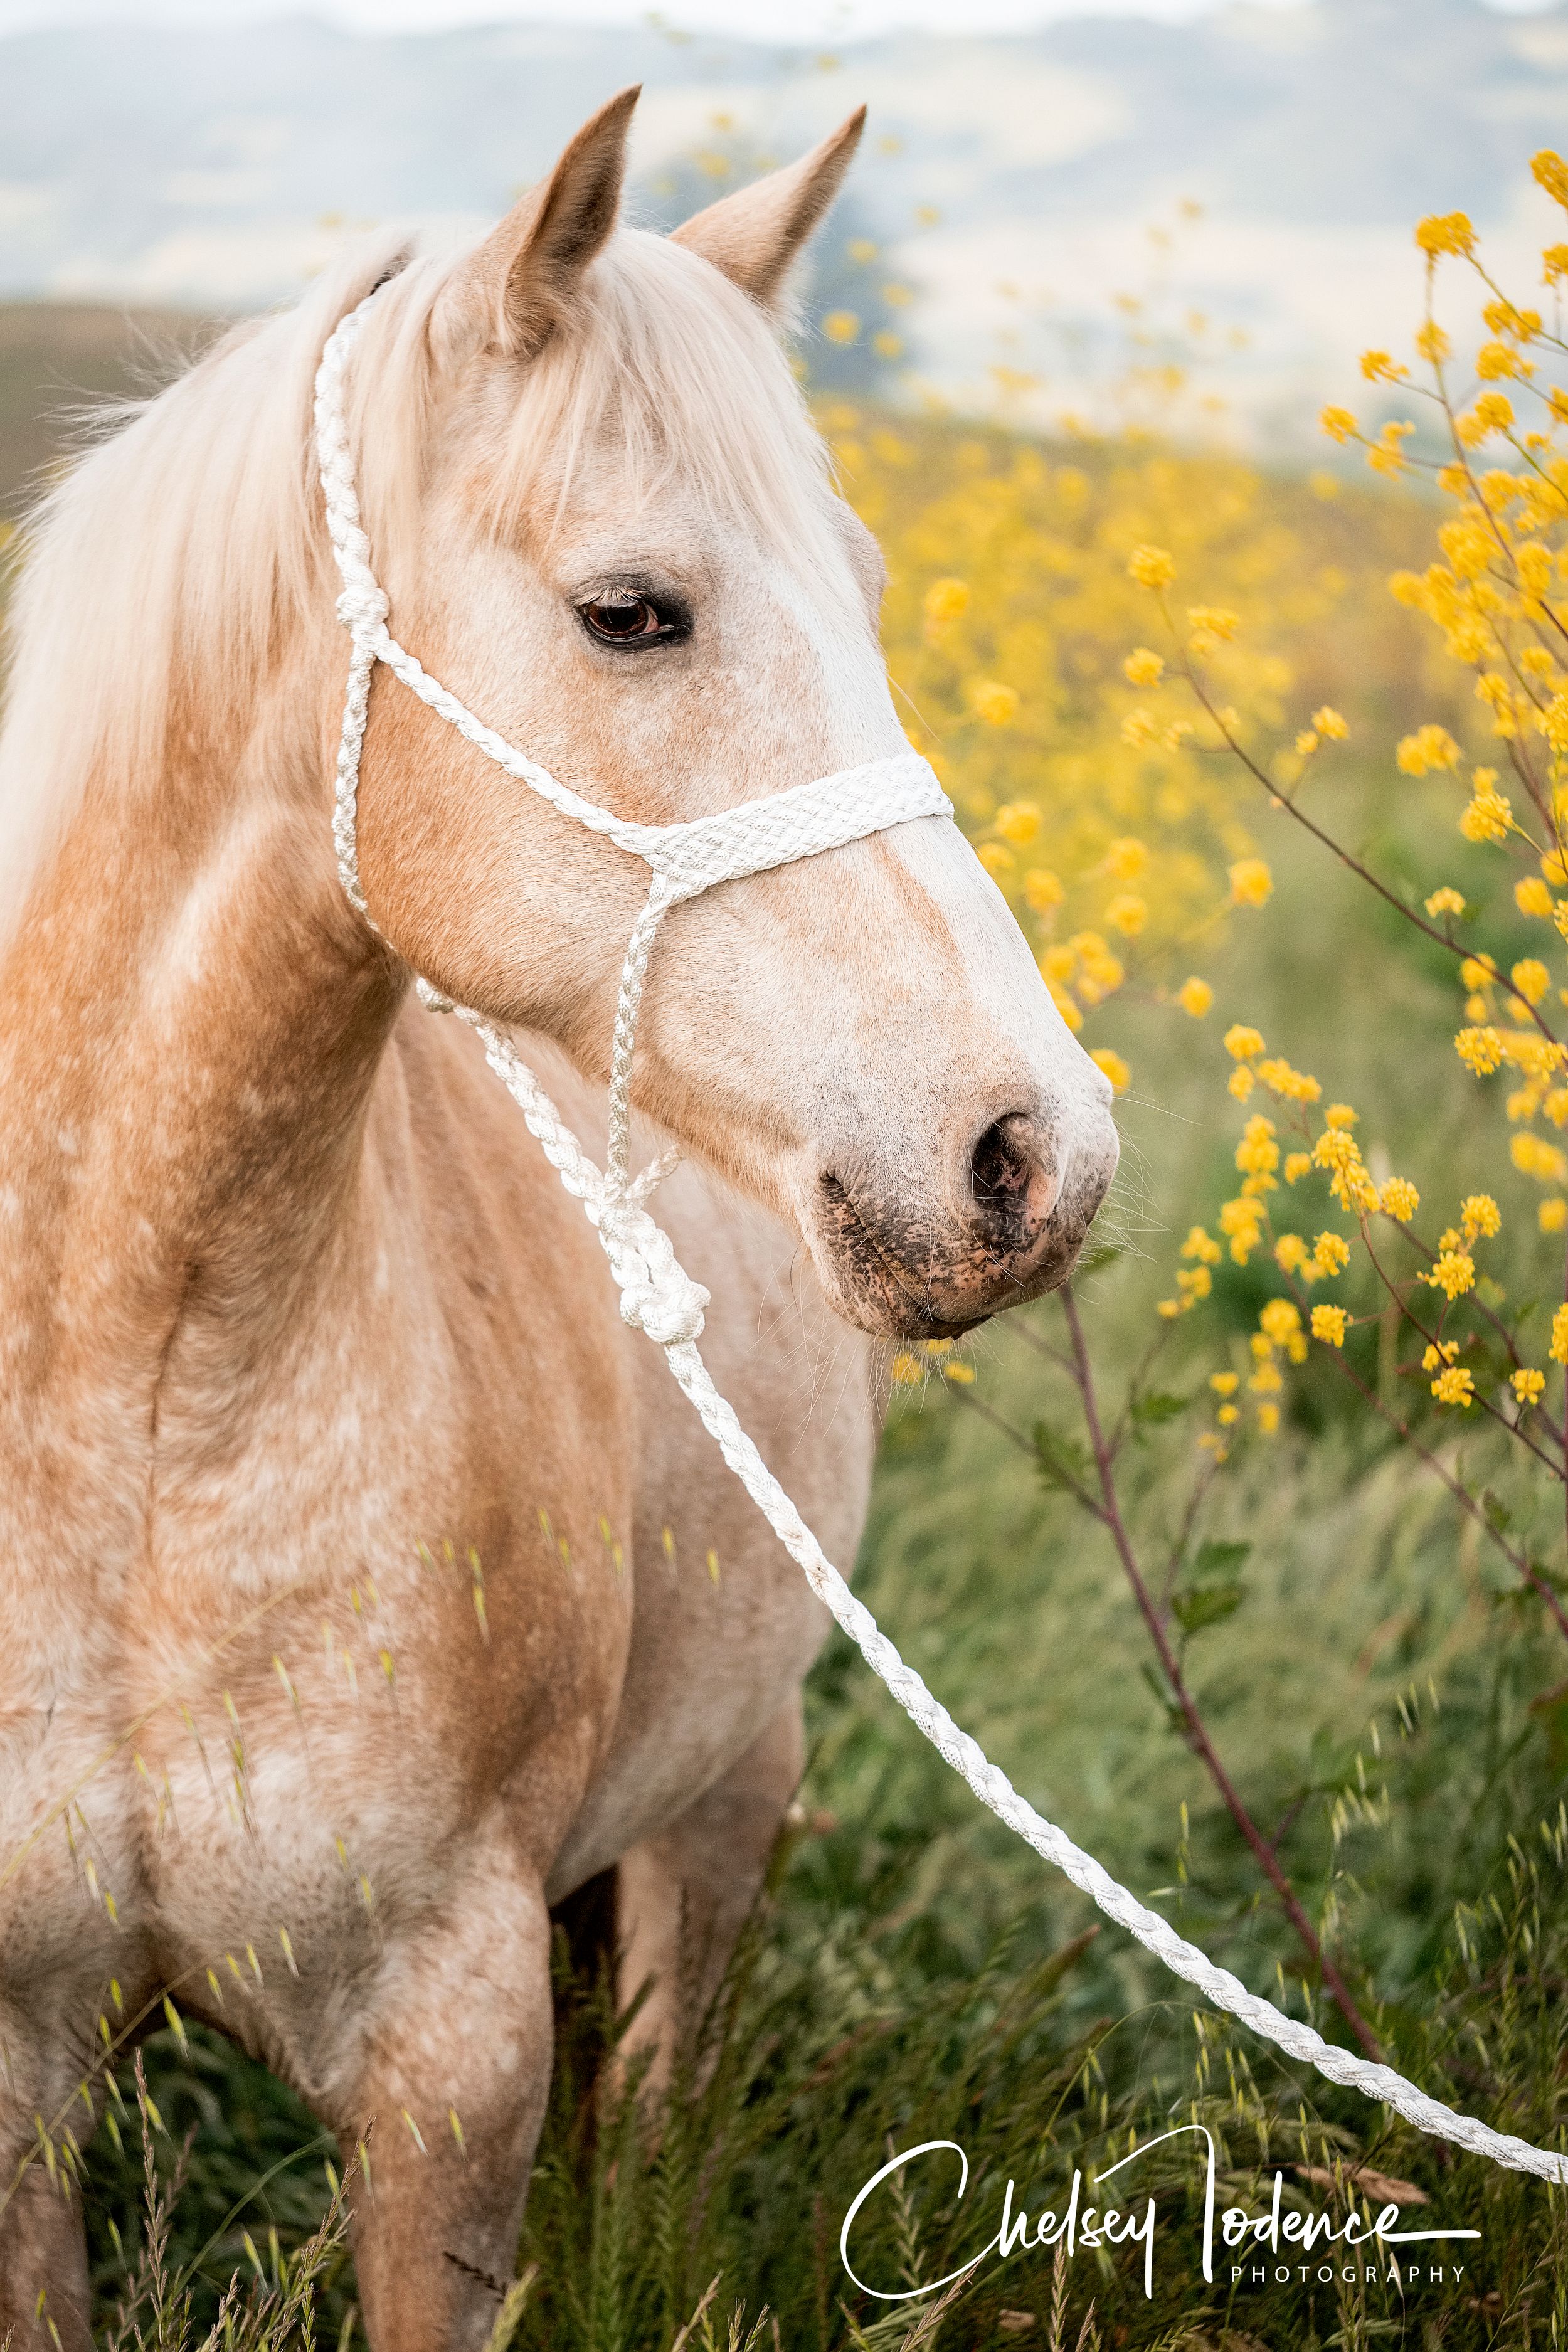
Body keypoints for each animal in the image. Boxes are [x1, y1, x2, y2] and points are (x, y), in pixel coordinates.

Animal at [0, 92, 1123, 2352]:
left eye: (868, 587)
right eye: (632, 613)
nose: (1028, 1151)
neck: (133, 1423)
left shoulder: (453, 2043)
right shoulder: (13, 2072)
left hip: (727, 1785)